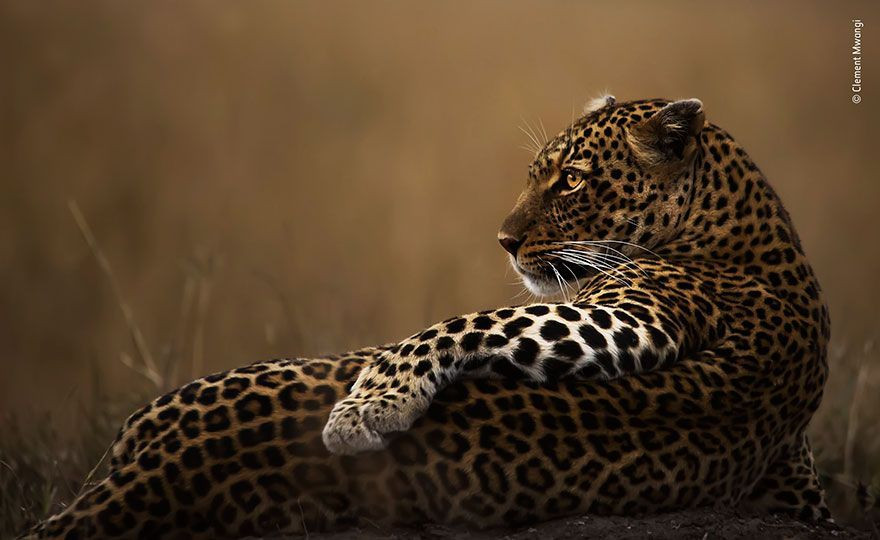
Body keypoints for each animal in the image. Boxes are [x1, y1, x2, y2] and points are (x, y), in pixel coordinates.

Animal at [22, 98, 832, 540]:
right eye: (536, 174)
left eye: (571, 180)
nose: (503, 239)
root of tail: (165, 463)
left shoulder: (640, 314)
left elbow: (469, 323)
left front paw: (367, 406)